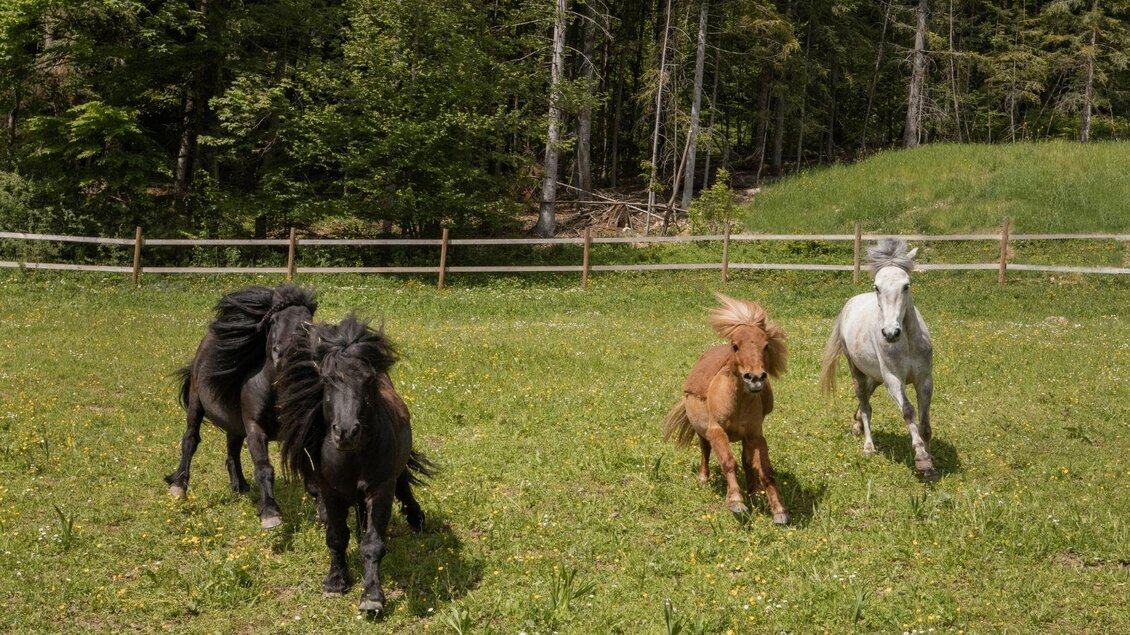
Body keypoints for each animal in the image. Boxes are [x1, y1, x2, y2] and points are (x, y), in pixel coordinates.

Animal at [164, 284, 318, 528]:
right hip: (196, 403)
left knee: (232, 451)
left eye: (307, 322)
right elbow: (264, 468)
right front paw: (270, 513)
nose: (284, 353)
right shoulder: (255, 427)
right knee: (190, 440)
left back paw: (240, 486)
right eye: (273, 321)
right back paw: (179, 487)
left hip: (235, 424)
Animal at [278, 314, 430, 613]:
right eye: (327, 379)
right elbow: (336, 536)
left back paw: (415, 518)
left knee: (403, 485)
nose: (346, 432)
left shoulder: (380, 489)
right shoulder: (331, 492)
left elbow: (373, 543)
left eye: (368, 380)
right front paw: (336, 581)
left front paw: (372, 596)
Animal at [663, 293, 790, 524]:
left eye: (766, 345)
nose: (755, 378)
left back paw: (752, 490)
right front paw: (736, 502)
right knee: (705, 451)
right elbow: (728, 462)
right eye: (735, 346)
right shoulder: (716, 431)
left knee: (747, 461)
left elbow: (765, 470)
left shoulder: (756, 436)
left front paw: (779, 510)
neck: (737, 403)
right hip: (703, 433)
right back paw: (704, 477)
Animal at [820, 238, 937, 480]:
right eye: (877, 287)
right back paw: (868, 447)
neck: (907, 341)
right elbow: (908, 411)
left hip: (875, 376)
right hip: (857, 371)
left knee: (866, 400)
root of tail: (850, 304)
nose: (890, 333)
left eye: (906, 285)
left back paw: (856, 425)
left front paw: (931, 464)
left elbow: (925, 422)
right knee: (865, 406)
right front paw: (921, 458)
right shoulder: (893, 380)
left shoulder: (924, 380)